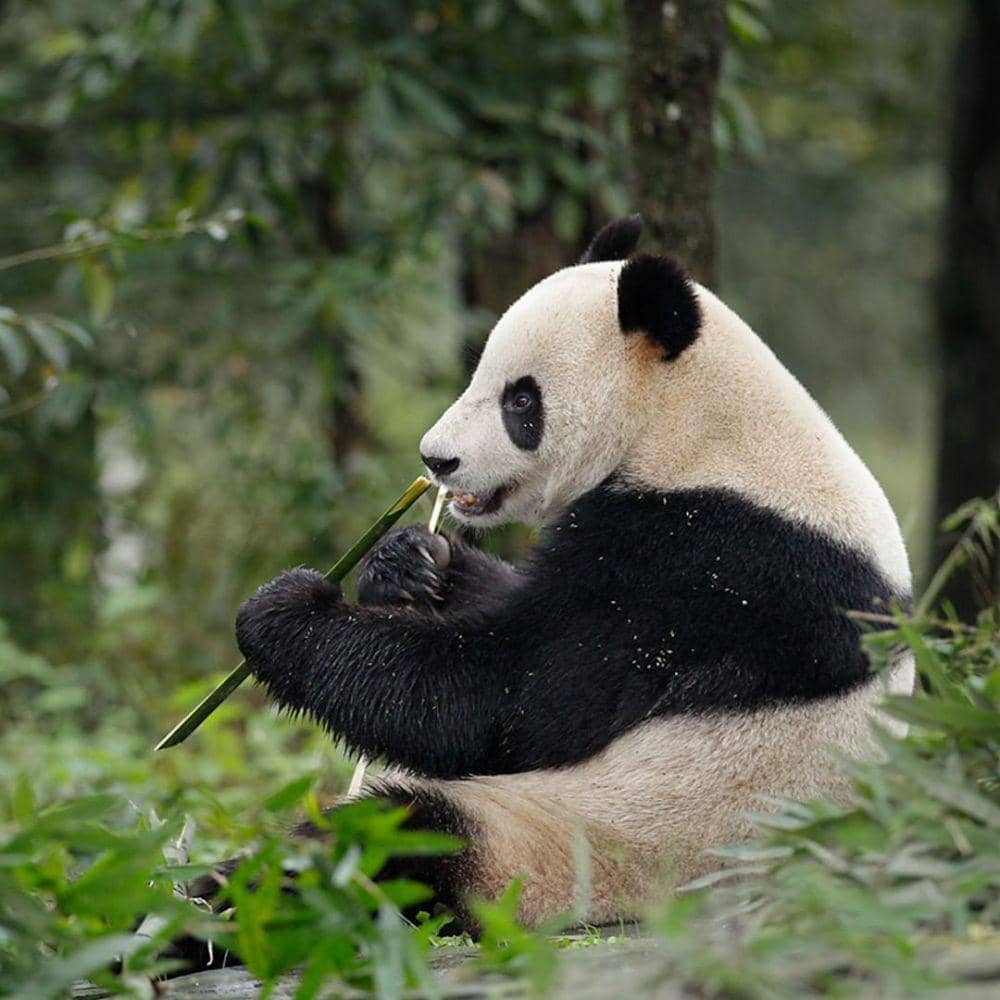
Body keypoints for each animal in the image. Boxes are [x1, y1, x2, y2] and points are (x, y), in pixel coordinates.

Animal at [232, 215, 914, 932]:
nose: (436, 460)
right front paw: (409, 561)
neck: (697, 426)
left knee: (398, 838)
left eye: (520, 401)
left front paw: (282, 612)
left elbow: (509, 694)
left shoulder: (705, 565)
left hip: (585, 841)